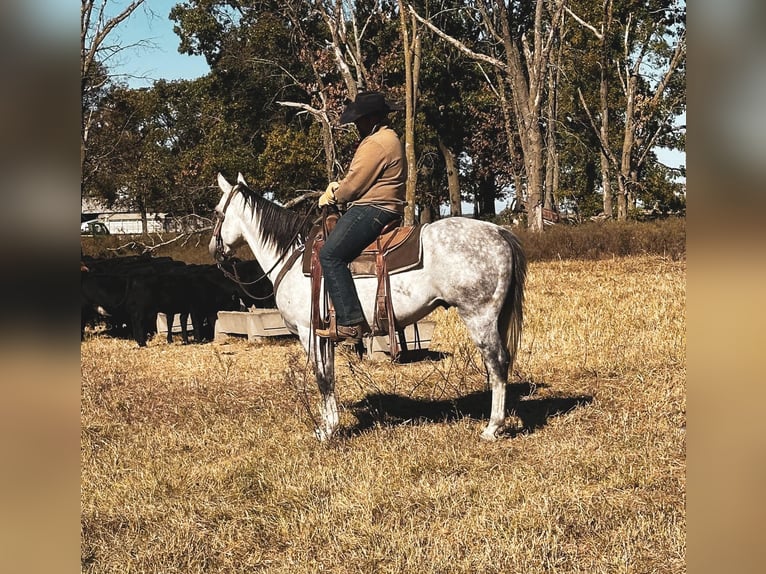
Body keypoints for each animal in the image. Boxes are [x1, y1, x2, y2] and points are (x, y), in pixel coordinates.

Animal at [210, 173, 527, 441]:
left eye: (215, 211)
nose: (214, 251)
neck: (292, 257)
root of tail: (498, 232)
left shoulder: (308, 332)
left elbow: (322, 377)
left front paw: (328, 431)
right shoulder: (324, 335)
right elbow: (330, 376)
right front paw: (330, 425)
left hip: (478, 316)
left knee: (497, 362)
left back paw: (492, 428)